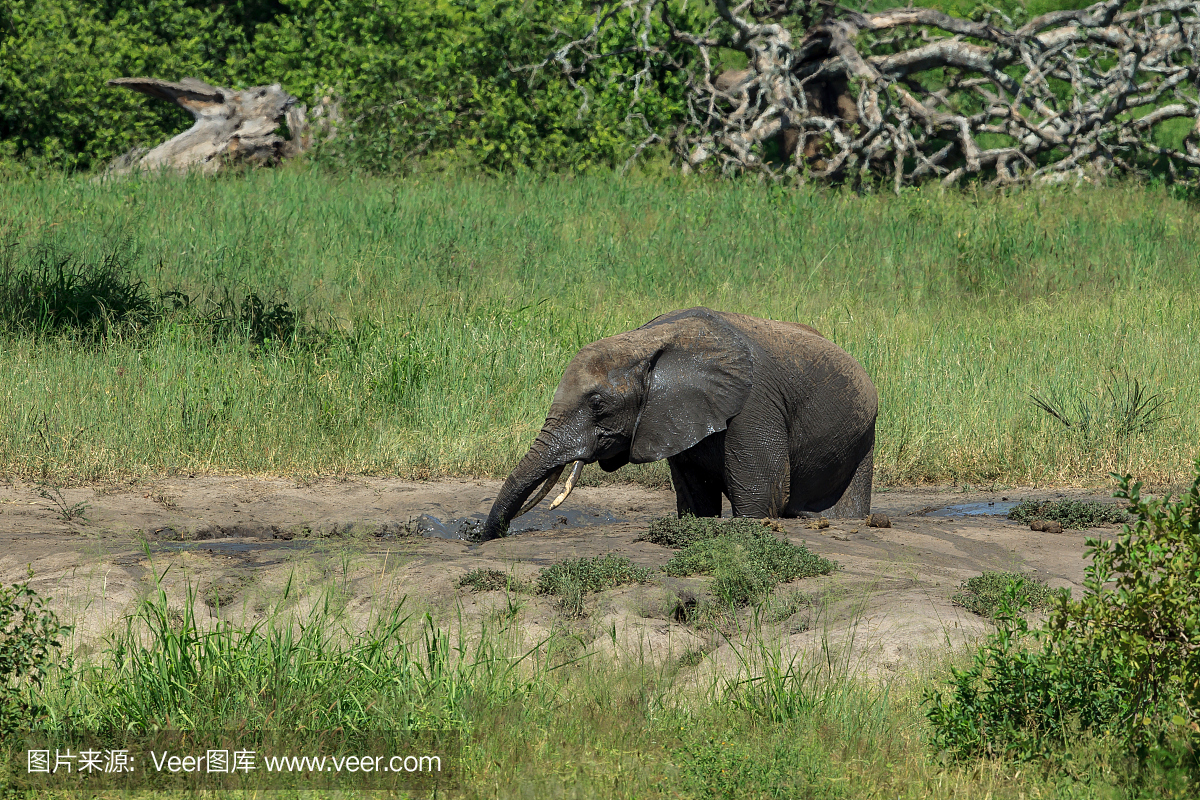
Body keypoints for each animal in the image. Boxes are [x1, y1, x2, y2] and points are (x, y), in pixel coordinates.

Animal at [472, 309, 878, 542]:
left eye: (598, 405)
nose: (478, 535)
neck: (649, 340)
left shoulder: (754, 404)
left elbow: (763, 494)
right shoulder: (670, 419)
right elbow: (696, 499)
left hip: (863, 434)